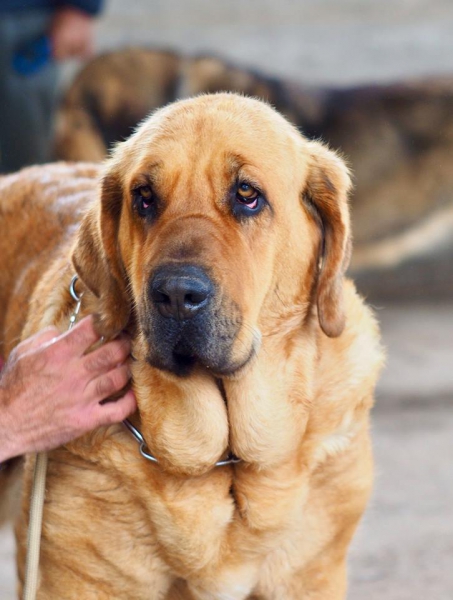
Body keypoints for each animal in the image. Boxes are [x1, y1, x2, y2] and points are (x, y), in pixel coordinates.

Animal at [0, 95, 382, 600]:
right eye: (144, 197)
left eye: (246, 194)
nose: (177, 294)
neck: (224, 459)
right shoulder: (81, 578)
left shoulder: (310, 573)